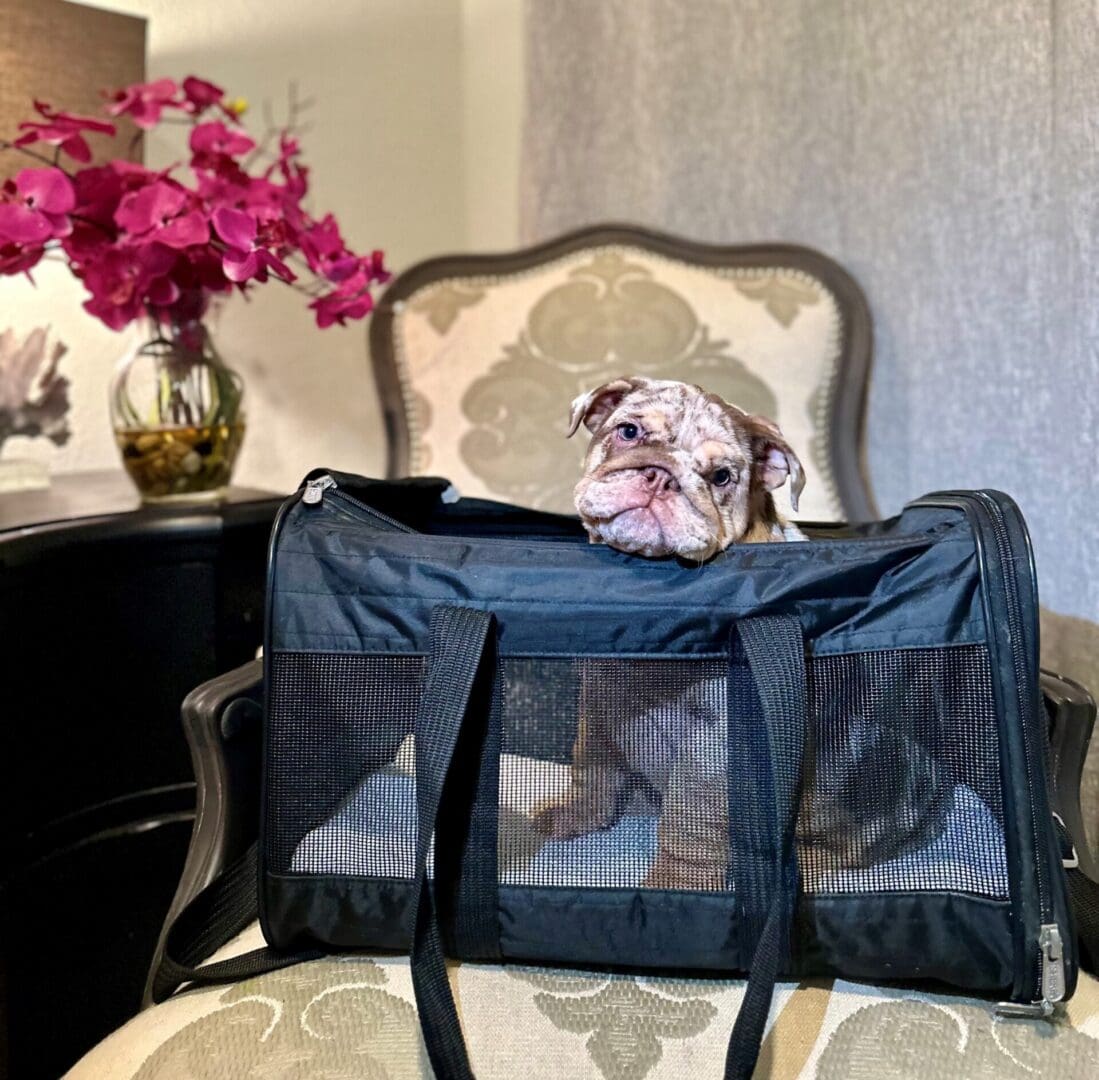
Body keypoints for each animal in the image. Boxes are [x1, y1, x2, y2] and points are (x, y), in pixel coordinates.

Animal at [527, 375, 949, 892]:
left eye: (722, 477)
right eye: (628, 432)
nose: (660, 476)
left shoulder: (714, 744)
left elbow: (689, 818)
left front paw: (677, 883)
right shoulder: (599, 703)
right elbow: (593, 765)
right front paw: (577, 814)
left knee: (843, 853)